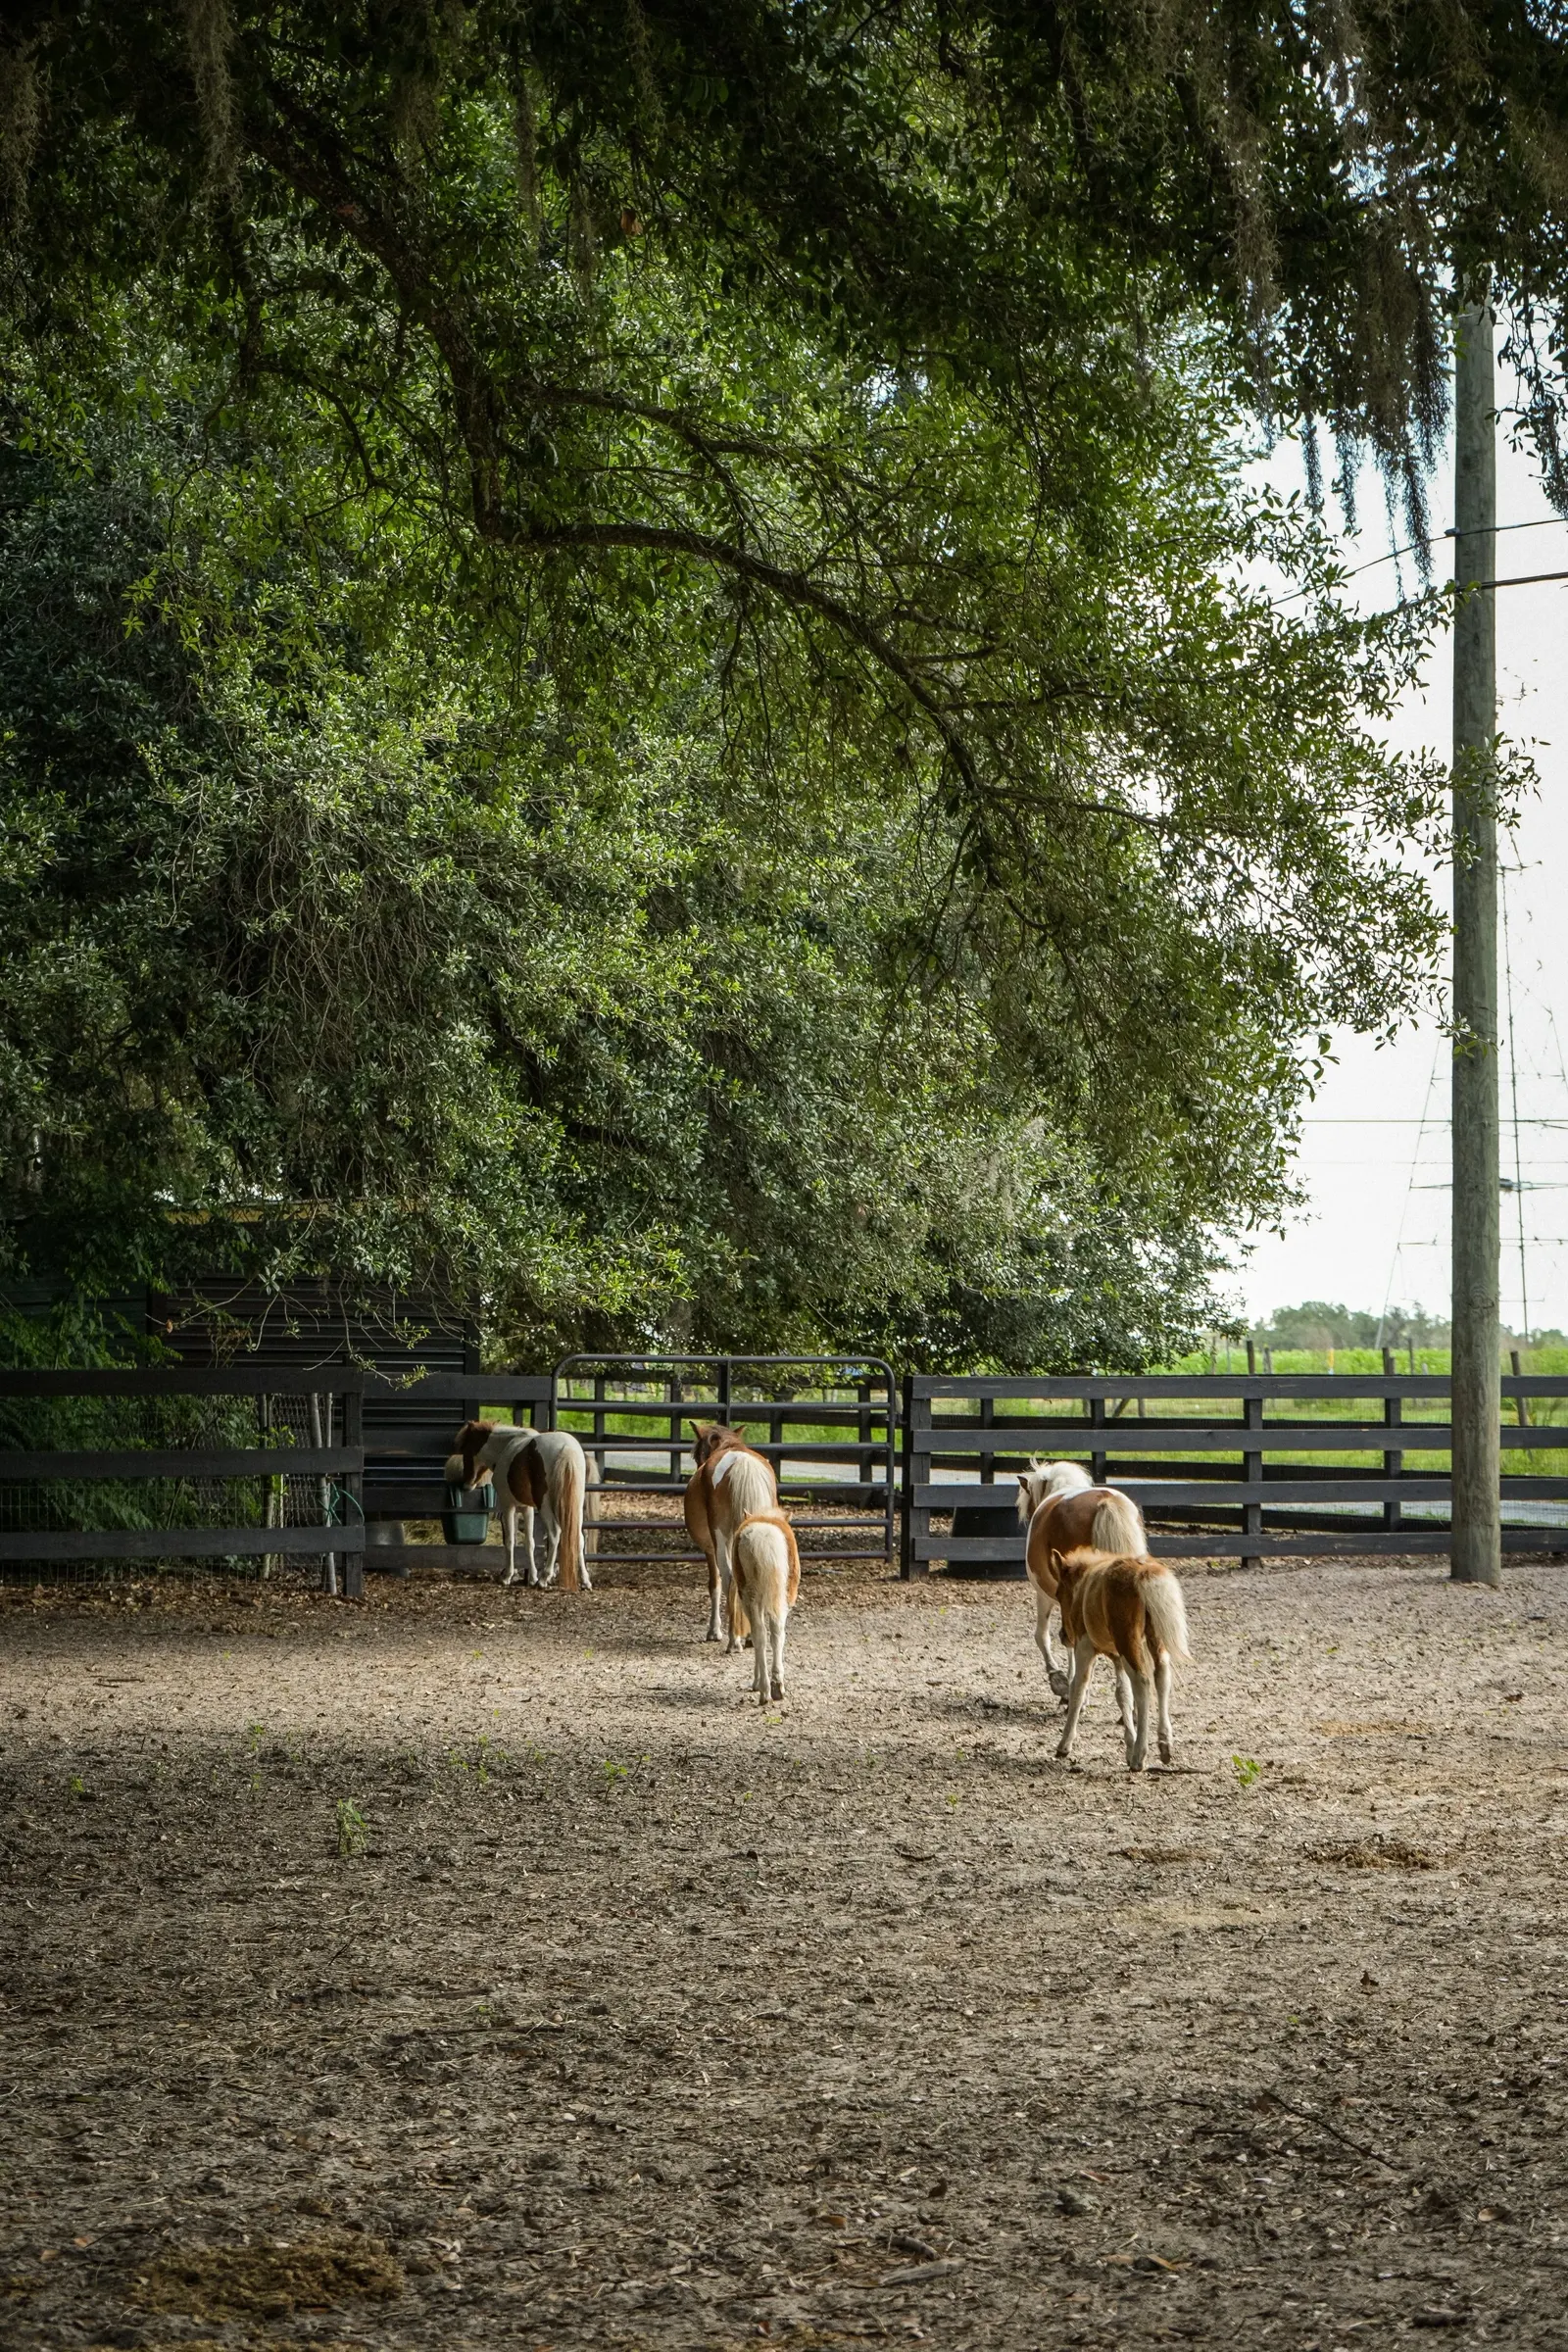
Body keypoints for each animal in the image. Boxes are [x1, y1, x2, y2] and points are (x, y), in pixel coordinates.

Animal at [449, 1421, 594, 1591]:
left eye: (465, 1451)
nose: (466, 1484)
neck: (505, 1447)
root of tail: (566, 1448)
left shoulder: (508, 1506)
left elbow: (510, 1541)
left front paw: (507, 1576)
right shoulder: (526, 1508)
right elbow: (529, 1543)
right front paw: (531, 1577)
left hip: (545, 1505)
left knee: (554, 1533)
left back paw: (544, 1578)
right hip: (575, 1505)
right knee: (578, 1537)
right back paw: (585, 1581)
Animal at [683, 1421, 777, 1648]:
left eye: (696, 1455)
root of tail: (741, 1462)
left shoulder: (710, 1548)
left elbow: (714, 1584)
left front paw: (714, 1631)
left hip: (722, 1538)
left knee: (729, 1577)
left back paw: (734, 1639)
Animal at [1050, 1546, 1190, 1772]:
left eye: (1058, 1593)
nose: (1063, 1635)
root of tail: (1143, 1570)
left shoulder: (1085, 1647)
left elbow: (1078, 1689)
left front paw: (1064, 1745)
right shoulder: (1117, 1657)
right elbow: (1123, 1695)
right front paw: (1129, 1746)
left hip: (1128, 1643)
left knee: (1142, 1682)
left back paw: (1140, 1756)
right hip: (1154, 1640)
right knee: (1161, 1676)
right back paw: (1164, 1744)